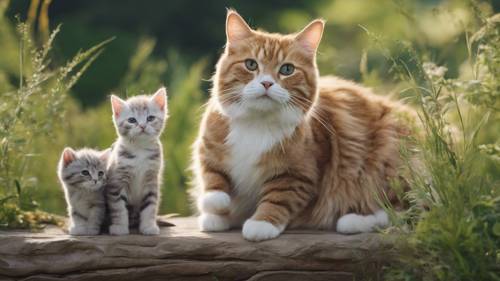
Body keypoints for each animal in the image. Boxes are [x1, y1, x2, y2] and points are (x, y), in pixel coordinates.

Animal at [105, 87, 168, 234]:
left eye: (150, 118)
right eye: (132, 120)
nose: (142, 126)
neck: (140, 150)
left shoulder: (151, 180)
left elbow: (150, 206)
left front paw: (149, 226)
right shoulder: (116, 181)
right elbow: (118, 207)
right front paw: (119, 227)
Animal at [189, 10, 412, 241]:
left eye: (287, 69)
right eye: (251, 65)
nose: (266, 83)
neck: (257, 122)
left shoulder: (298, 175)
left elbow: (278, 199)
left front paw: (262, 223)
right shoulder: (208, 147)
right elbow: (212, 176)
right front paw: (215, 208)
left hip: (388, 159)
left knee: (402, 212)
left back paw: (353, 220)